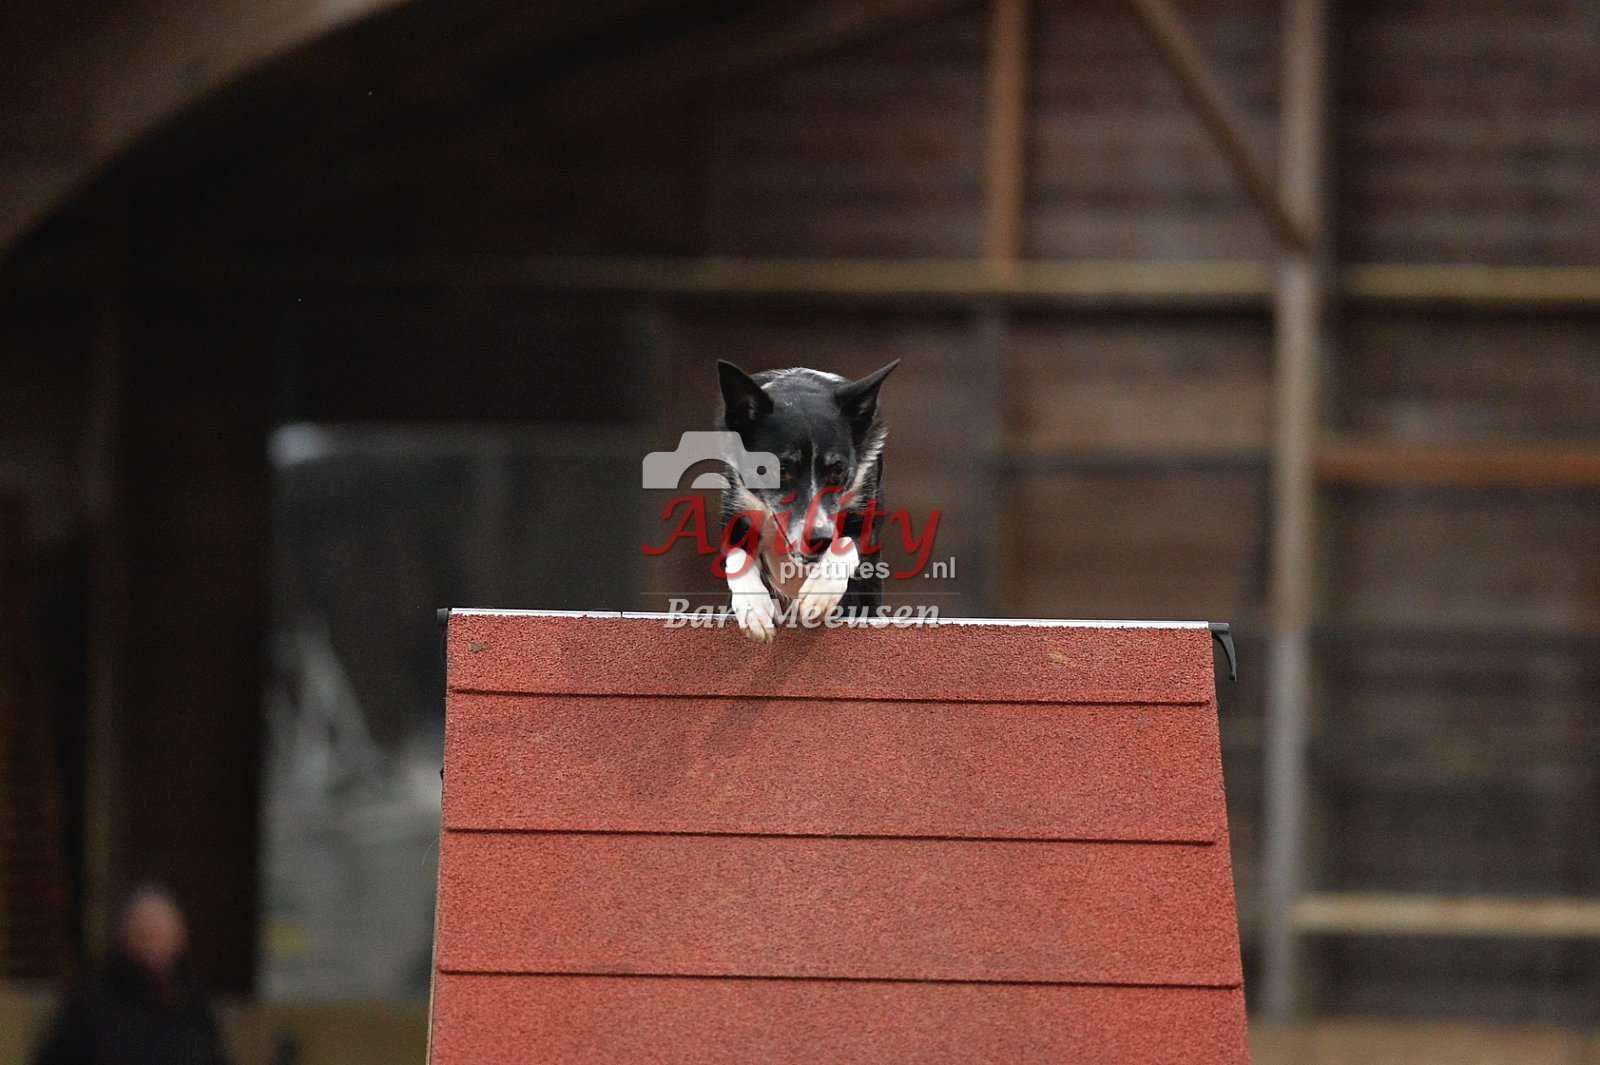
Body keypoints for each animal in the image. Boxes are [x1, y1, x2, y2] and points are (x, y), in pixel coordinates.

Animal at [716, 360, 898, 643]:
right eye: (781, 469)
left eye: (838, 470)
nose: (818, 539)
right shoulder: (737, 505)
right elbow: (736, 554)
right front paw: (754, 608)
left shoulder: (866, 507)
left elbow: (847, 541)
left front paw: (820, 592)